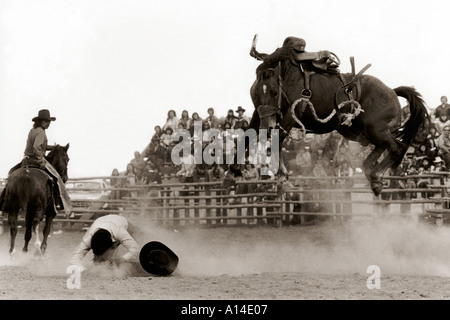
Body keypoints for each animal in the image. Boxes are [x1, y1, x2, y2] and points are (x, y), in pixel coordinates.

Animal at [250, 35, 428, 195]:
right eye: (255, 93)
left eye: (274, 92)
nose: (267, 125)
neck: (287, 77)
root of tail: (392, 91)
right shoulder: (258, 116)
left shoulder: (292, 114)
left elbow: (277, 138)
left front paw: (283, 178)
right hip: (359, 131)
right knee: (381, 149)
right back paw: (374, 177)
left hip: (376, 129)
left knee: (396, 147)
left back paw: (376, 178)